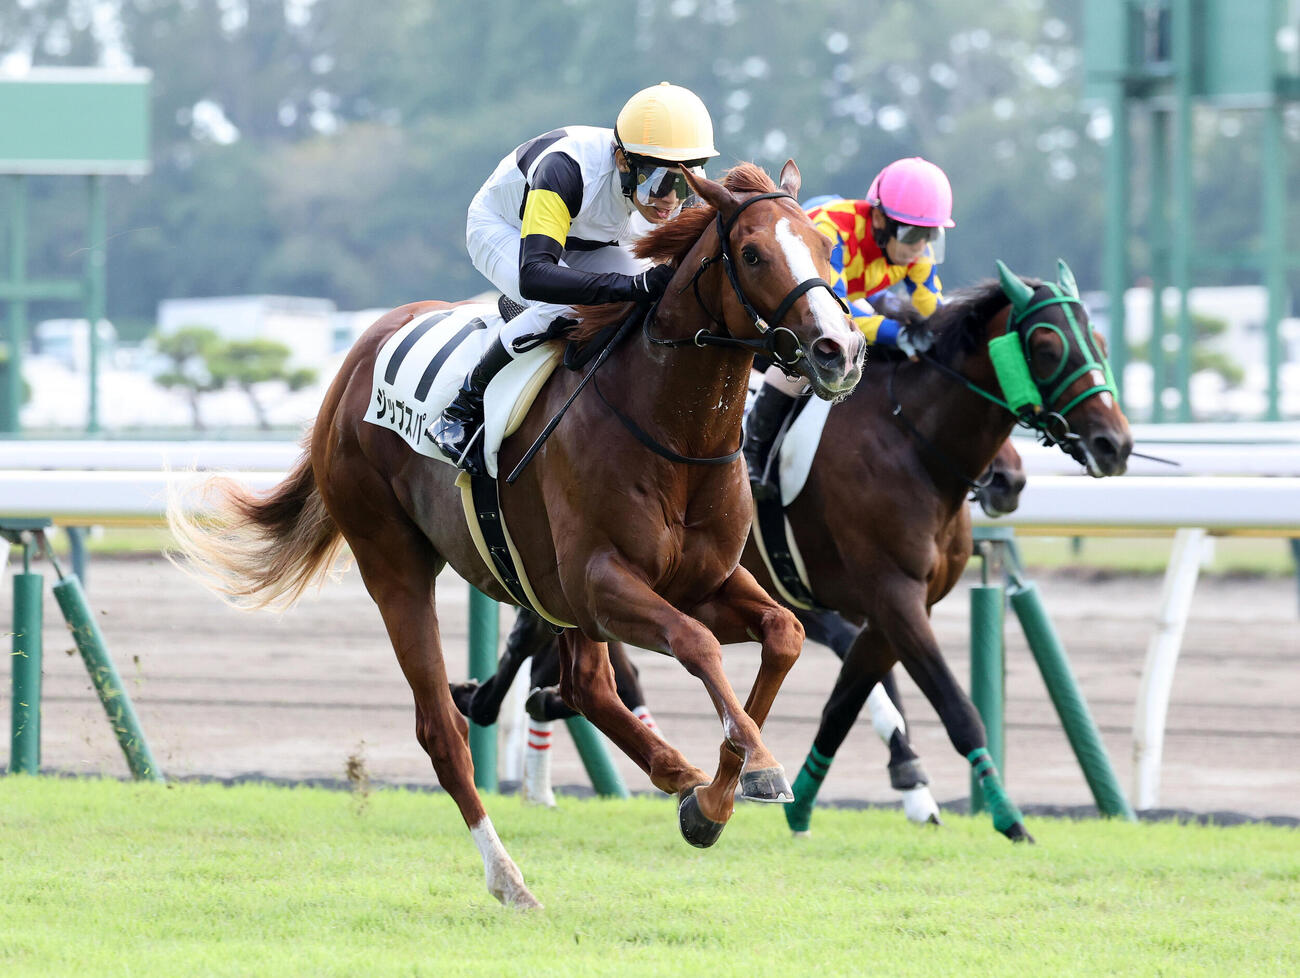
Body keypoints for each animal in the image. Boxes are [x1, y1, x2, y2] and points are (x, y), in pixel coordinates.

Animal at [165, 160, 865, 909]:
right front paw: (754, 765)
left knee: (588, 686)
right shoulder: (601, 582)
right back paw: (508, 876)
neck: (672, 430)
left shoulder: (699, 579)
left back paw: (678, 778)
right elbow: (696, 643)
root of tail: (355, 360)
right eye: (755, 253)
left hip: (550, 593)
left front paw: (719, 796)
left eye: (825, 247)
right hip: (395, 562)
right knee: (443, 728)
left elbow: (783, 633)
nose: (839, 350)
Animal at [743, 260, 1131, 842]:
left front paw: (804, 805)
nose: (1115, 444)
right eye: (1046, 346)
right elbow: (958, 709)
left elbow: (842, 706)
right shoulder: (894, 595)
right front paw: (1008, 817)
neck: (910, 441)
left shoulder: (896, 607)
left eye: (1100, 342)